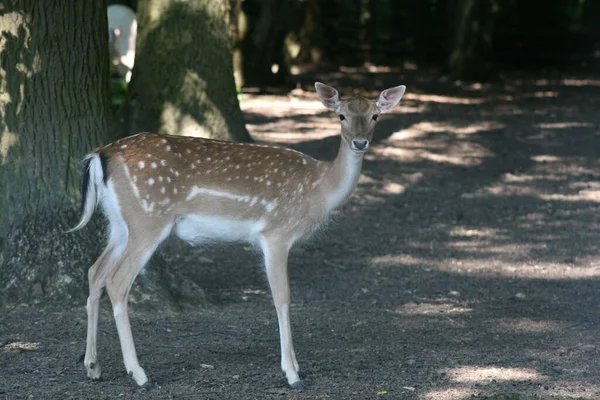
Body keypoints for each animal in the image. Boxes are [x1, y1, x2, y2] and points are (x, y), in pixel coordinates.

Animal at [71, 82, 408, 390]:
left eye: (375, 115)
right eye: (341, 115)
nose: (360, 142)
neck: (319, 189)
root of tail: (100, 155)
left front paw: (296, 367)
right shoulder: (276, 232)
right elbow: (282, 296)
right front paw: (293, 373)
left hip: (119, 223)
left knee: (94, 272)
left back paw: (93, 366)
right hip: (147, 219)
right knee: (117, 281)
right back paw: (140, 375)